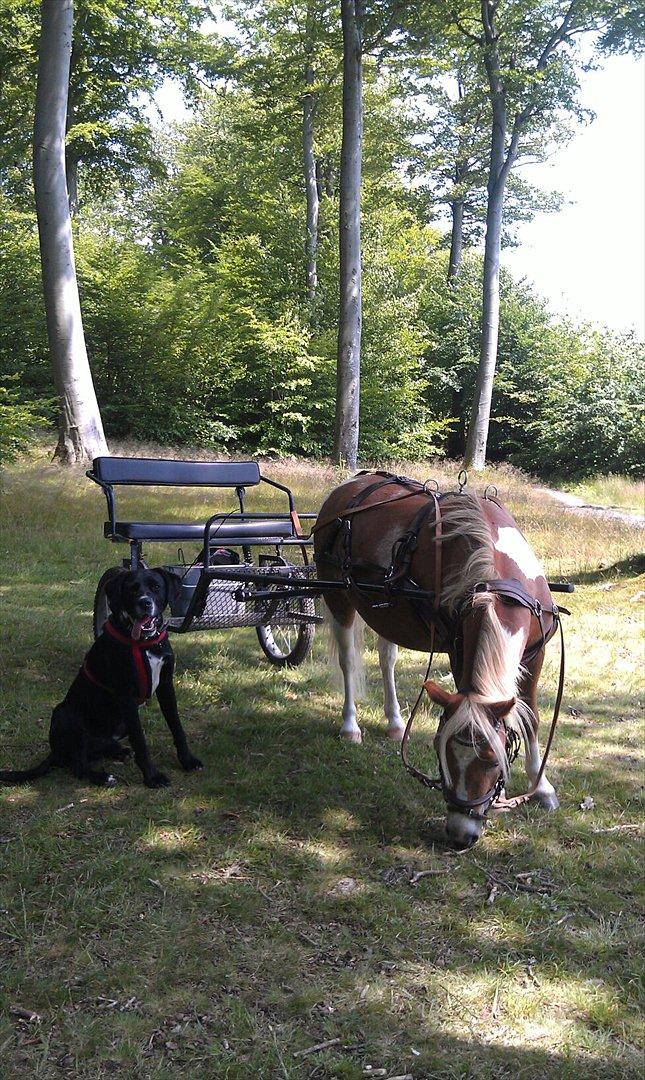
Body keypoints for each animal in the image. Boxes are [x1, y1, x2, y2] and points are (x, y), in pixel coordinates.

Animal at [0, 570, 200, 790]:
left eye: (156, 586)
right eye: (132, 589)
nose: (145, 603)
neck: (145, 643)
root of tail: (56, 752)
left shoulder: (166, 686)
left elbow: (177, 727)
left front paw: (187, 760)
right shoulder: (127, 697)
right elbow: (140, 741)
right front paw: (152, 777)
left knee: (96, 751)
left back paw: (118, 751)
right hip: (66, 715)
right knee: (78, 766)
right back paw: (102, 777)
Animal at [311, 473, 557, 851]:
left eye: (492, 760)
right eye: (442, 754)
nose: (460, 835)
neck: (497, 585)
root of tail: (350, 484)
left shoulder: (536, 655)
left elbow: (530, 718)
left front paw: (540, 788)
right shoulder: (460, 652)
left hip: (388, 612)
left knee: (387, 658)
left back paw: (395, 721)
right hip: (338, 596)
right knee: (348, 661)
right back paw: (350, 726)